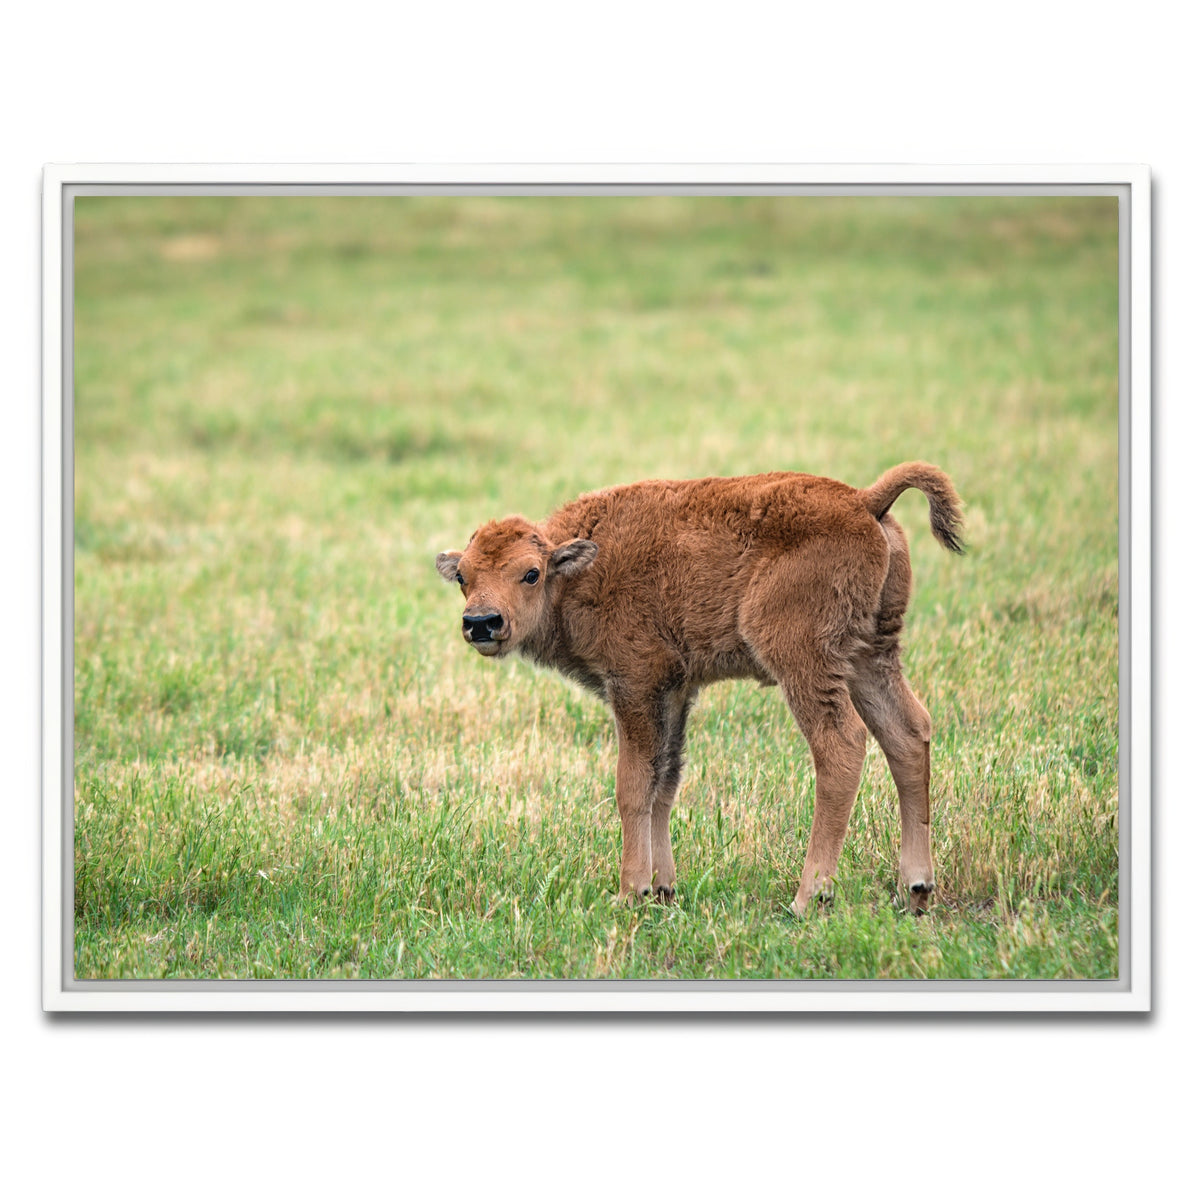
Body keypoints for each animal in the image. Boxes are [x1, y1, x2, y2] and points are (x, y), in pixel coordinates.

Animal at [436, 462, 964, 915]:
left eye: (530, 573)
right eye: (463, 576)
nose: (481, 622)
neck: (577, 567)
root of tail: (864, 501)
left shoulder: (635, 684)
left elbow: (633, 785)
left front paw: (630, 891)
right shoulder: (674, 691)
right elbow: (664, 781)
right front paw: (663, 889)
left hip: (806, 660)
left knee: (841, 746)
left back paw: (807, 897)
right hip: (870, 655)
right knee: (907, 734)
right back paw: (916, 889)